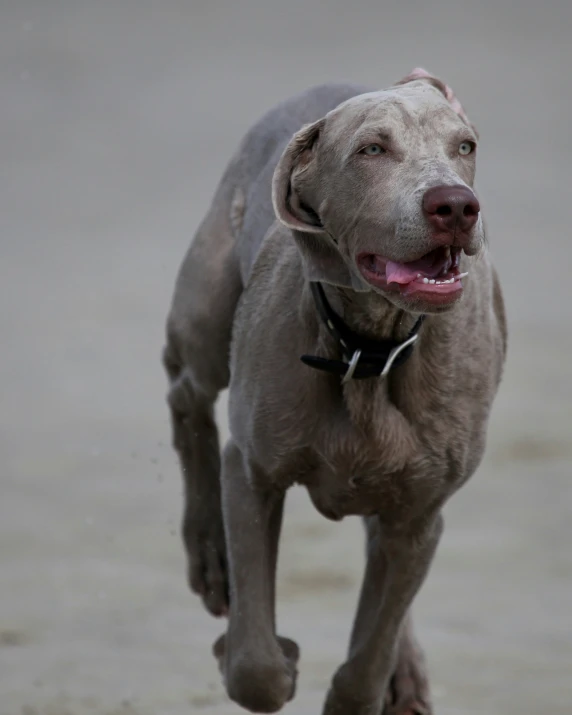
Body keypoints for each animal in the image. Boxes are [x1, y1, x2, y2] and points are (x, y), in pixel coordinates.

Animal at [163, 68, 508, 715]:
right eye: (371, 150)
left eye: (465, 146)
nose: (455, 205)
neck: (368, 349)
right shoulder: (252, 473)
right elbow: (255, 667)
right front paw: (262, 656)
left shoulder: (421, 515)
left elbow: (369, 655)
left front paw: (377, 681)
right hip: (206, 316)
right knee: (186, 397)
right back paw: (210, 555)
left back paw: (406, 675)